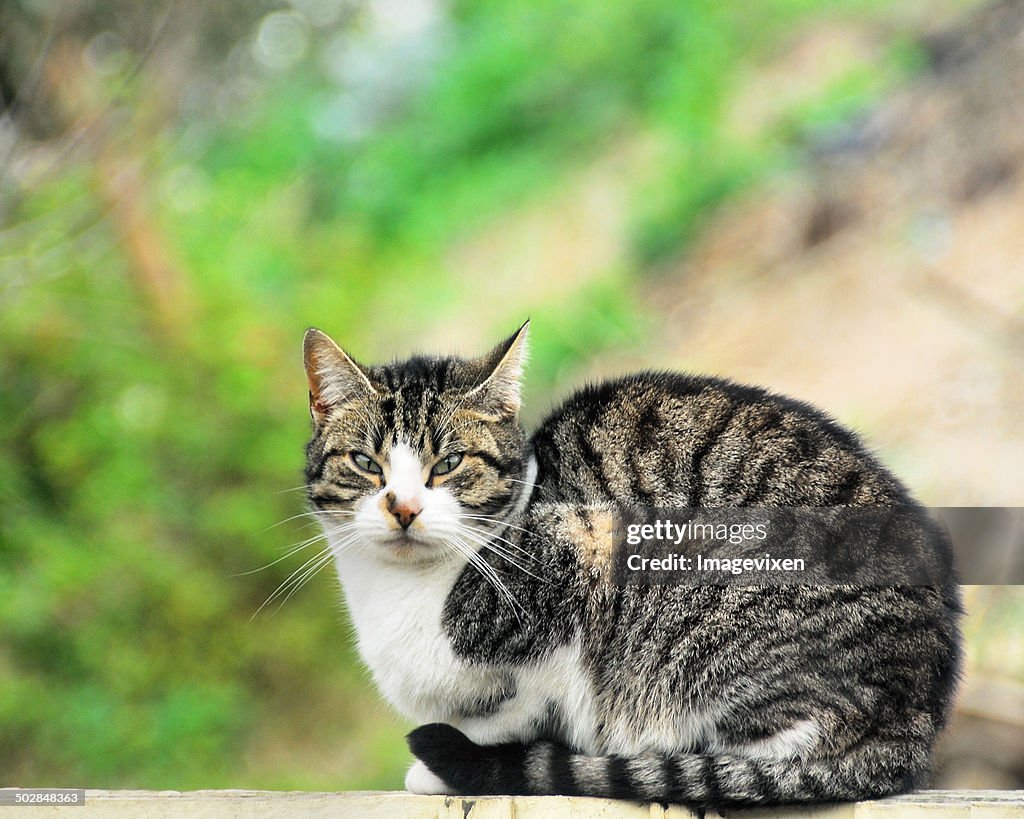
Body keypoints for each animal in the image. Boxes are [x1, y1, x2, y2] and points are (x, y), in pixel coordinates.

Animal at [299, 319, 958, 806]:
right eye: (366, 463)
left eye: (449, 463)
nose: (404, 508)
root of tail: (916, 720)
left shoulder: (581, 566)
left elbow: (528, 706)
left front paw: (458, 762)